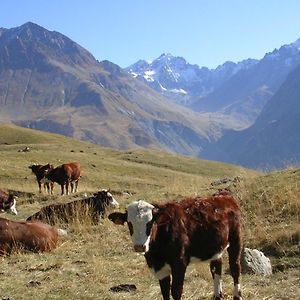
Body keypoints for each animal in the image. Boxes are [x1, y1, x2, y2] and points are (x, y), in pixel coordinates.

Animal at [109, 190, 243, 300]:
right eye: (129, 223)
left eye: (150, 223)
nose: (139, 246)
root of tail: (224, 195)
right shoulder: (160, 269)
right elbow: (165, 292)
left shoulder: (179, 263)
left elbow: (176, 291)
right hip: (216, 248)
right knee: (216, 269)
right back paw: (217, 296)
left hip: (236, 240)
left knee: (235, 268)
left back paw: (237, 296)